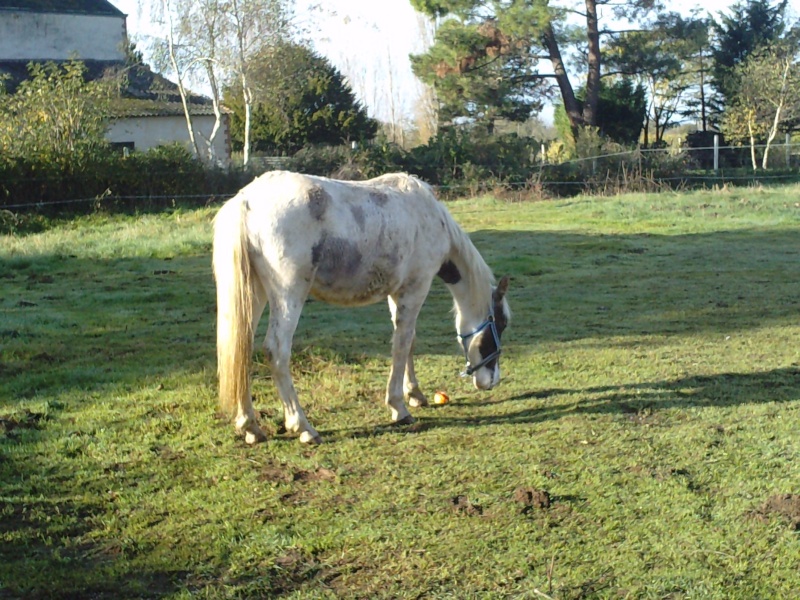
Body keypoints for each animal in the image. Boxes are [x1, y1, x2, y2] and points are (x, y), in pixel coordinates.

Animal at [214, 171, 512, 442]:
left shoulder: (397, 294)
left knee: (242, 348)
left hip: (254, 293)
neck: (430, 217)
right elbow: (402, 344)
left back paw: (250, 426)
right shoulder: (414, 290)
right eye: (500, 324)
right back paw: (303, 427)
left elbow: (409, 341)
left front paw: (414, 394)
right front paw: (399, 408)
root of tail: (246, 201)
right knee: (276, 351)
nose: (491, 381)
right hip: (288, 295)